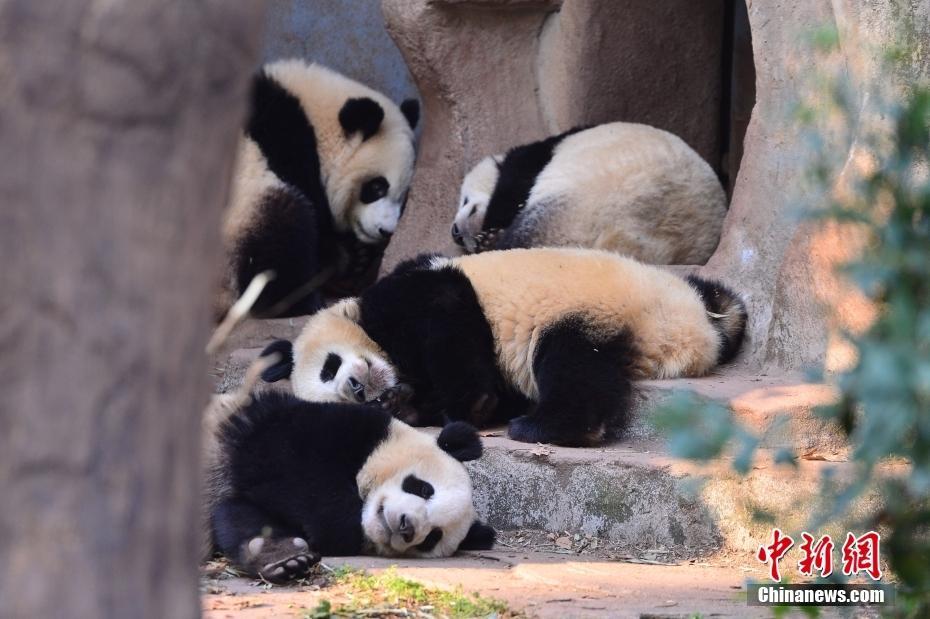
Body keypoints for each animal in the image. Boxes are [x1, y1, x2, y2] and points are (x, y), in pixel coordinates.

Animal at [203, 390, 492, 584]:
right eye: (424, 489)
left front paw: (282, 557)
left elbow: (238, 515)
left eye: (433, 537)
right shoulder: (328, 428)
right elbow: (300, 469)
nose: (406, 527)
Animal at [218, 59, 416, 320]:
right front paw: (348, 258)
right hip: (238, 220)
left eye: (402, 197)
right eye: (377, 187)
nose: (386, 231)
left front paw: (359, 257)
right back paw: (302, 303)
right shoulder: (290, 149)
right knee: (280, 235)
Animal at [260, 247, 748, 446]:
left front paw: (466, 406)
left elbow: (448, 315)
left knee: (569, 363)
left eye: (329, 367)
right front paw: (407, 406)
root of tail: (695, 335)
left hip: (604, 309)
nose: (359, 390)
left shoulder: (411, 293)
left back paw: (545, 427)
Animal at [450, 123, 724, 264]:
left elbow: (511, 191)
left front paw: (488, 234)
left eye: (465, 201)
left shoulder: (533, 159)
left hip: (578, 209)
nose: (455, 233)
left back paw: (496, 244)